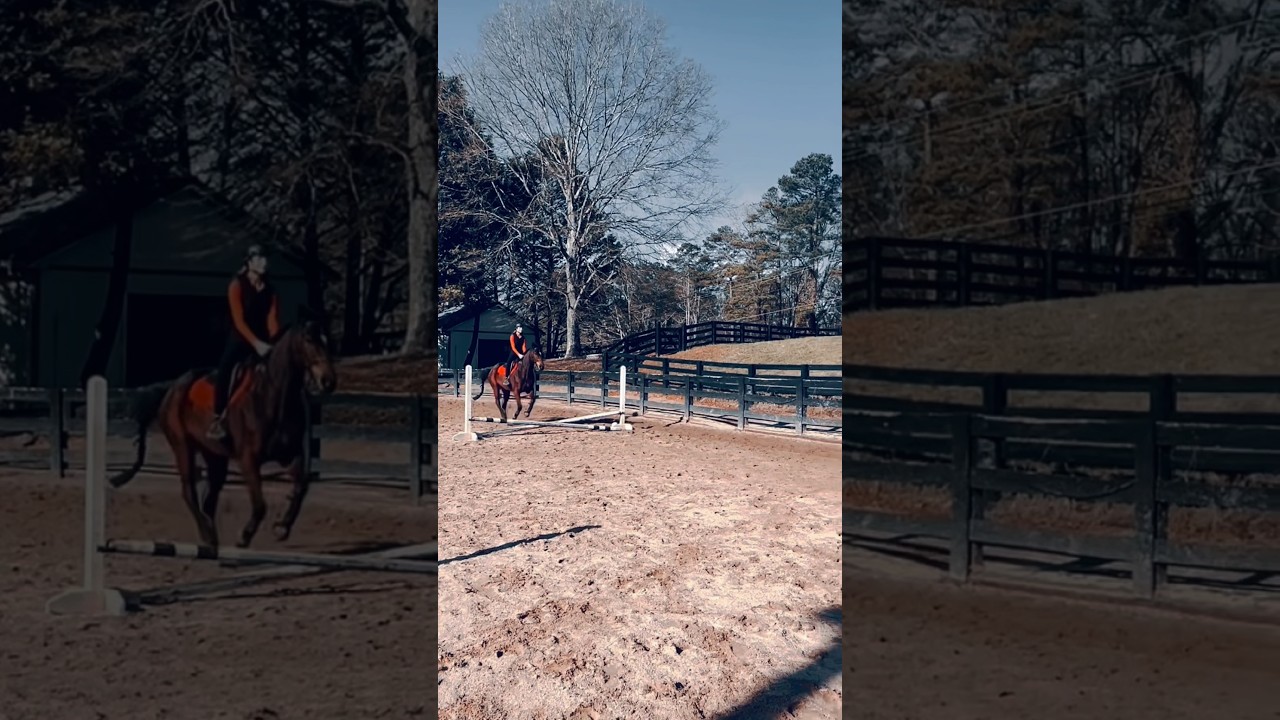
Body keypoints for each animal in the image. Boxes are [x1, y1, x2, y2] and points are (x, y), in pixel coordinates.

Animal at [109, 318, 337, 549]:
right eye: (308, 340)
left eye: (328, 339)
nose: (328, 381)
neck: (272, 395)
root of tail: (171, 388)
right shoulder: (248, 459)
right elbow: (260, 504)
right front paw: (244, 536)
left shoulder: (289, 455)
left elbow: (301, 486)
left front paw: (282, 527)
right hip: (182, 446)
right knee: (189, 492)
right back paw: (207, 534)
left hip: (214, 455)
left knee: (209, 499)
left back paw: (212, 536)